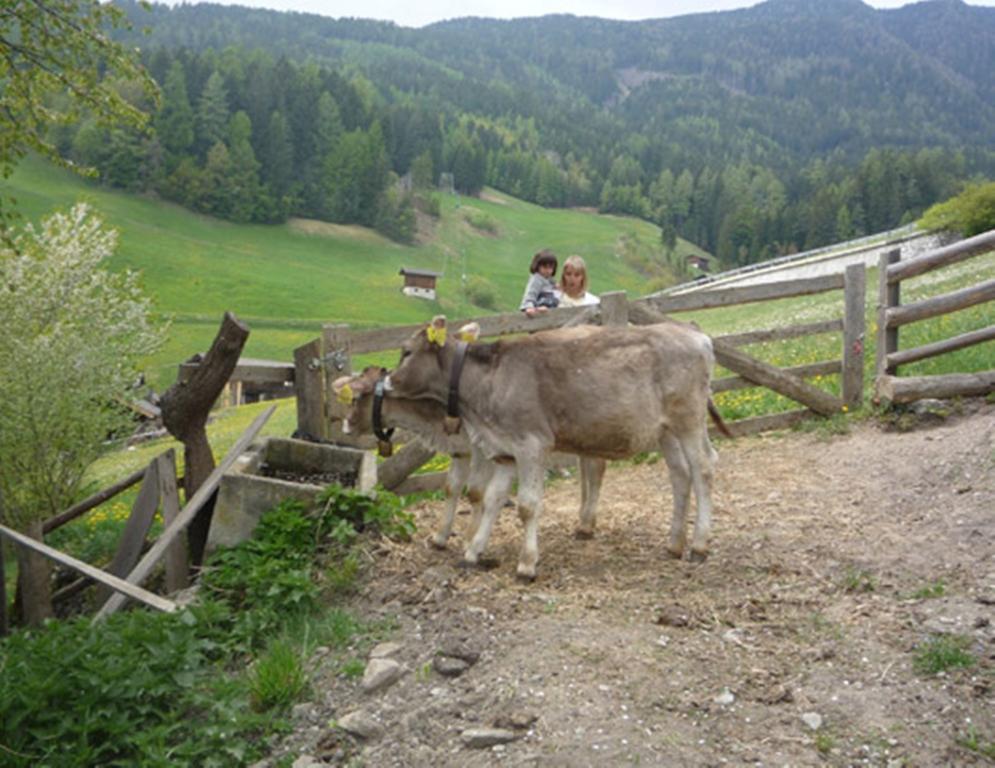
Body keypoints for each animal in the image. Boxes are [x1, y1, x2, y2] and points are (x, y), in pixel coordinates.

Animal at [388, 316, 724, 580]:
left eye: (406, 352)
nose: (387, 381)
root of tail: (694, 333)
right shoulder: (505, 450)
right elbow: (494, 499)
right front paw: (473, 552)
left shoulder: (531, 444)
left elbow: (527, 505)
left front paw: (526, 565)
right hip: (667, 430)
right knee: (680, 474)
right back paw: (674, 543)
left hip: (689, 420)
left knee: (704, 467)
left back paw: (699, 545)